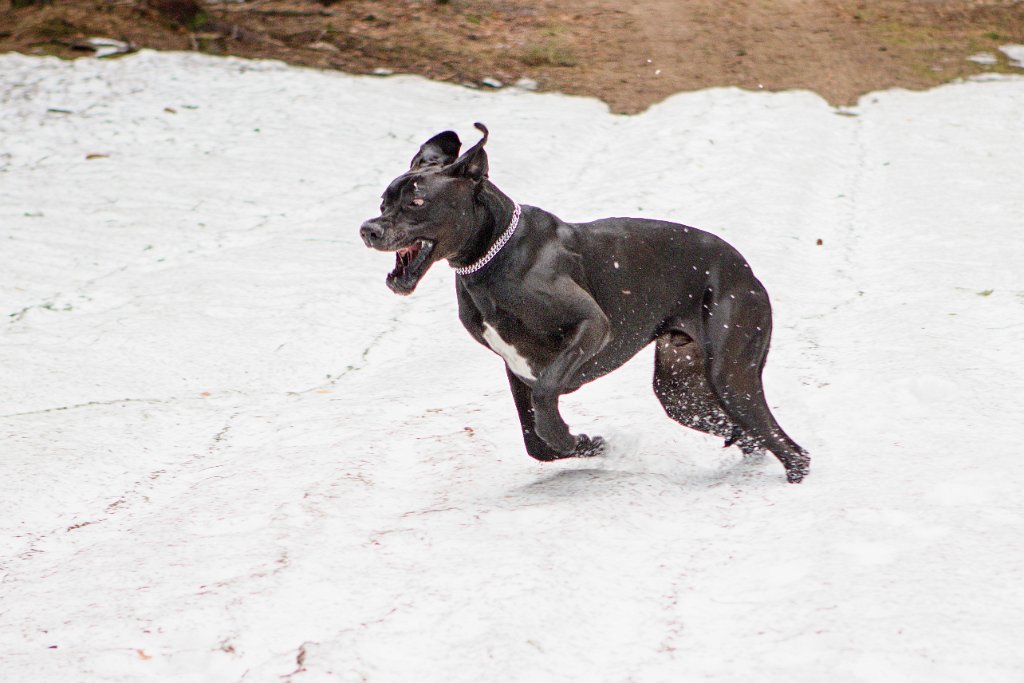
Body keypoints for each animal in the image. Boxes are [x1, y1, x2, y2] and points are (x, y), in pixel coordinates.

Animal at [360, 125, 806, 483]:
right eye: (384, 201)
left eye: (417, 202)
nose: (368, 229)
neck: (491, 256)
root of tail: (746, 271)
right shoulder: (515, 368)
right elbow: (536, 442)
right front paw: (587, 443)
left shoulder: (591, 325)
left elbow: (546, 399)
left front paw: (575, 437)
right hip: (681, 392)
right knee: (746, 434)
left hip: (730, 375)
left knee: (788, 447)